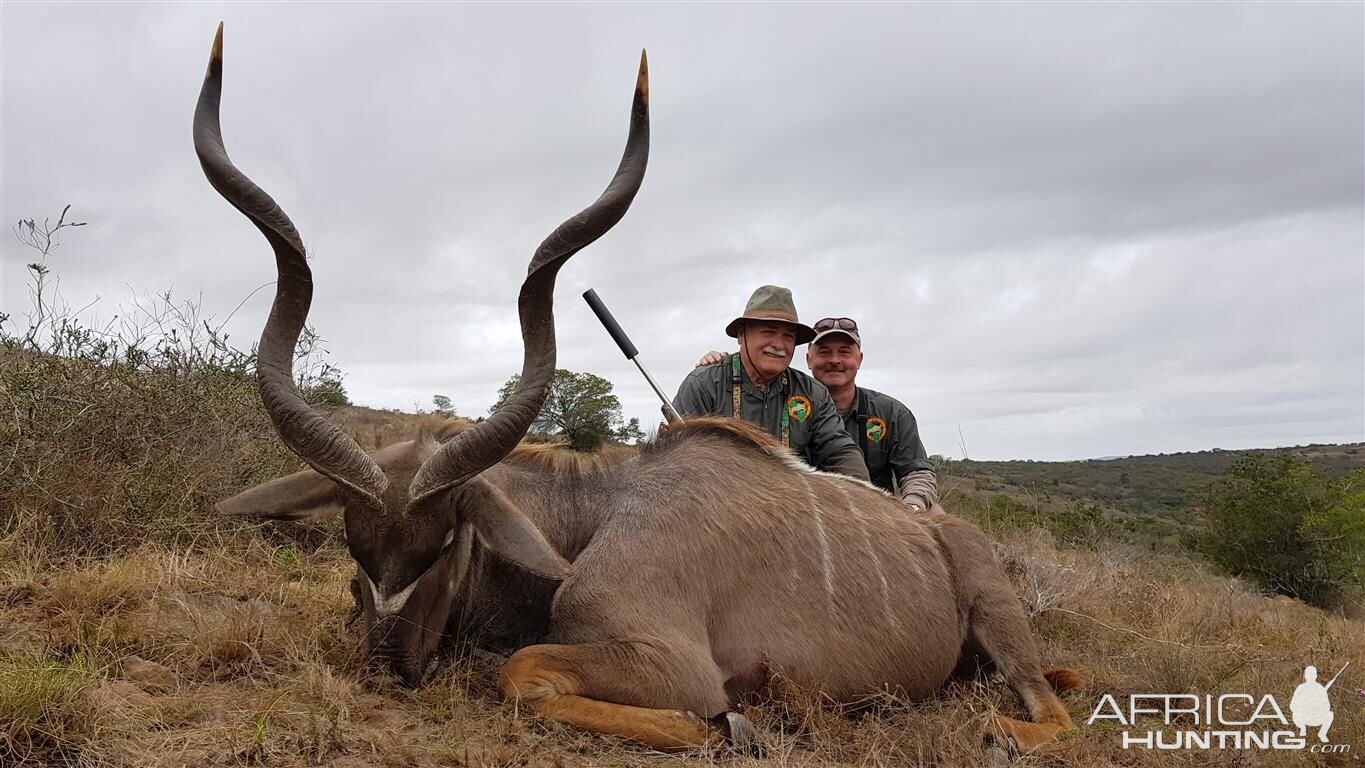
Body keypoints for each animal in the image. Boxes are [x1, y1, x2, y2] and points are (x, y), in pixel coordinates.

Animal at [202, 22, 1075, 752]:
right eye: (354, 543)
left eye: (446, 540)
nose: (386, 666)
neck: (589, 515)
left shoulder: (670, 660)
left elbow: (522, 672)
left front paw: (724, 725)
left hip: (1000, 619)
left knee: (1054, 710)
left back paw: (998, 730)